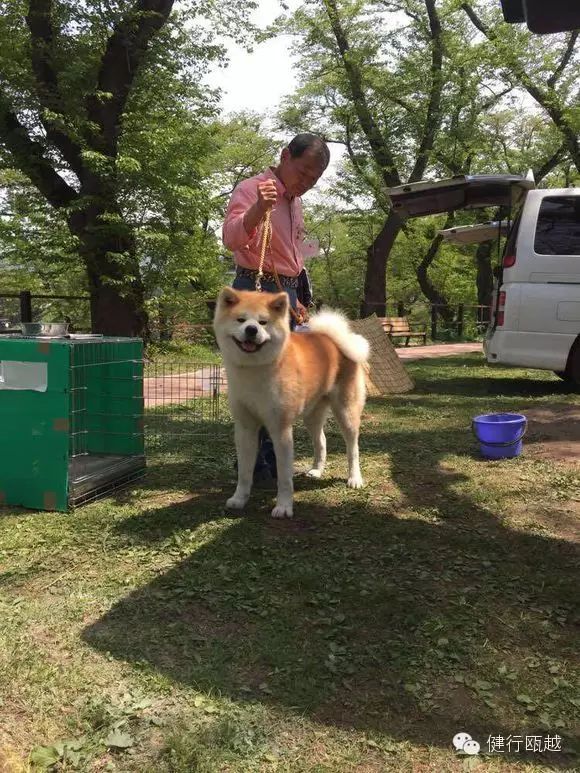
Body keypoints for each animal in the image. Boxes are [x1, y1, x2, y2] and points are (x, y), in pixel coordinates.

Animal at [212, 290, 368, 520]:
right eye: (240, 320)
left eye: (263, 322)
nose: (251, 329)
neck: (255, 370)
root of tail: (330, 339)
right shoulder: (245, 428)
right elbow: (244, 473)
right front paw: (239, 499)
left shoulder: (281, 429)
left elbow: (285, 478)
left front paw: (284, 507)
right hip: (312, 415)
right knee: (321, 441)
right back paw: (317, 470)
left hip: (346, 412)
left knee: (352, 448)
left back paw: (354, 478)